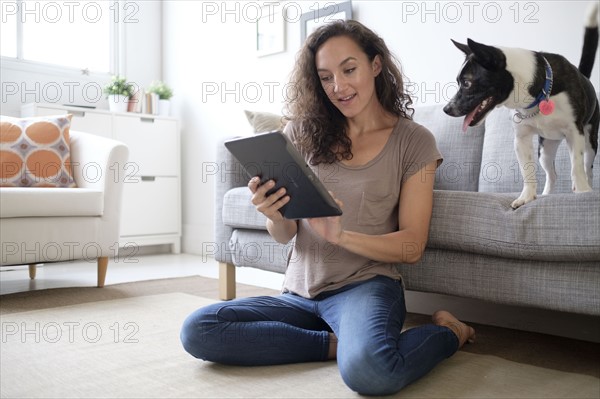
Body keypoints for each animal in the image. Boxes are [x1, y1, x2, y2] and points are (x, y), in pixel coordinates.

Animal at [442, 3, 596, 209]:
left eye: (466, 83)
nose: (447, 109)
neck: (538, 92)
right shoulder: (522, 139)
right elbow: (527, 171)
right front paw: (527, 197)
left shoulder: (574, 132)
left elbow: (576, 166)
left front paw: (581, 192)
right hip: (545, 150)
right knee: (552, 174)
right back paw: (547, 195)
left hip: (589, 141)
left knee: (587, 167)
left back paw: (588, 188)